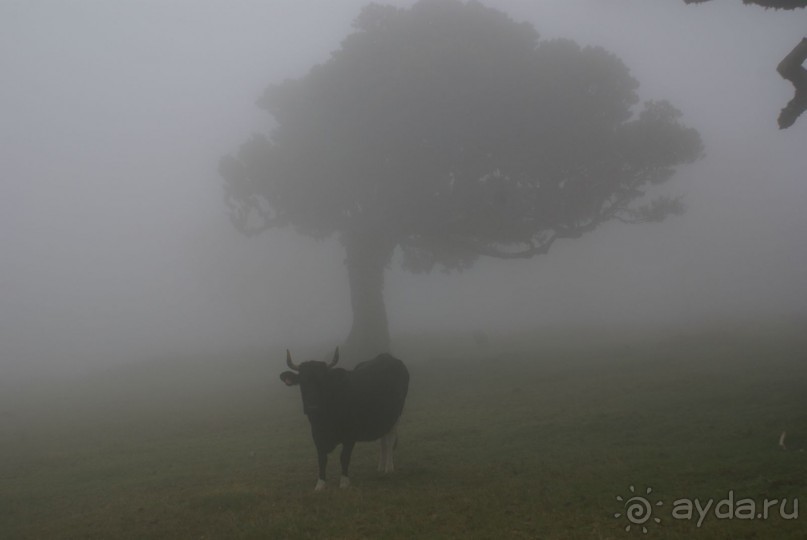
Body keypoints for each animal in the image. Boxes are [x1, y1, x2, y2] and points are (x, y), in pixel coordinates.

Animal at [282, 346, 410, 490]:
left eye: (323, 381)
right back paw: (381, 467)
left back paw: (389, 467)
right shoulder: (317, 436)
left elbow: (344, 457)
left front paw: (344, 482)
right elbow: (322, 459)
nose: (312, 406)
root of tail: (387, 357)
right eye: (302, 382)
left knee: (389, 440)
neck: (325, 419)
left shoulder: (350, 436)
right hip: (383, 419)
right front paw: (320, 484)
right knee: (383, 441)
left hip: (396, 415)